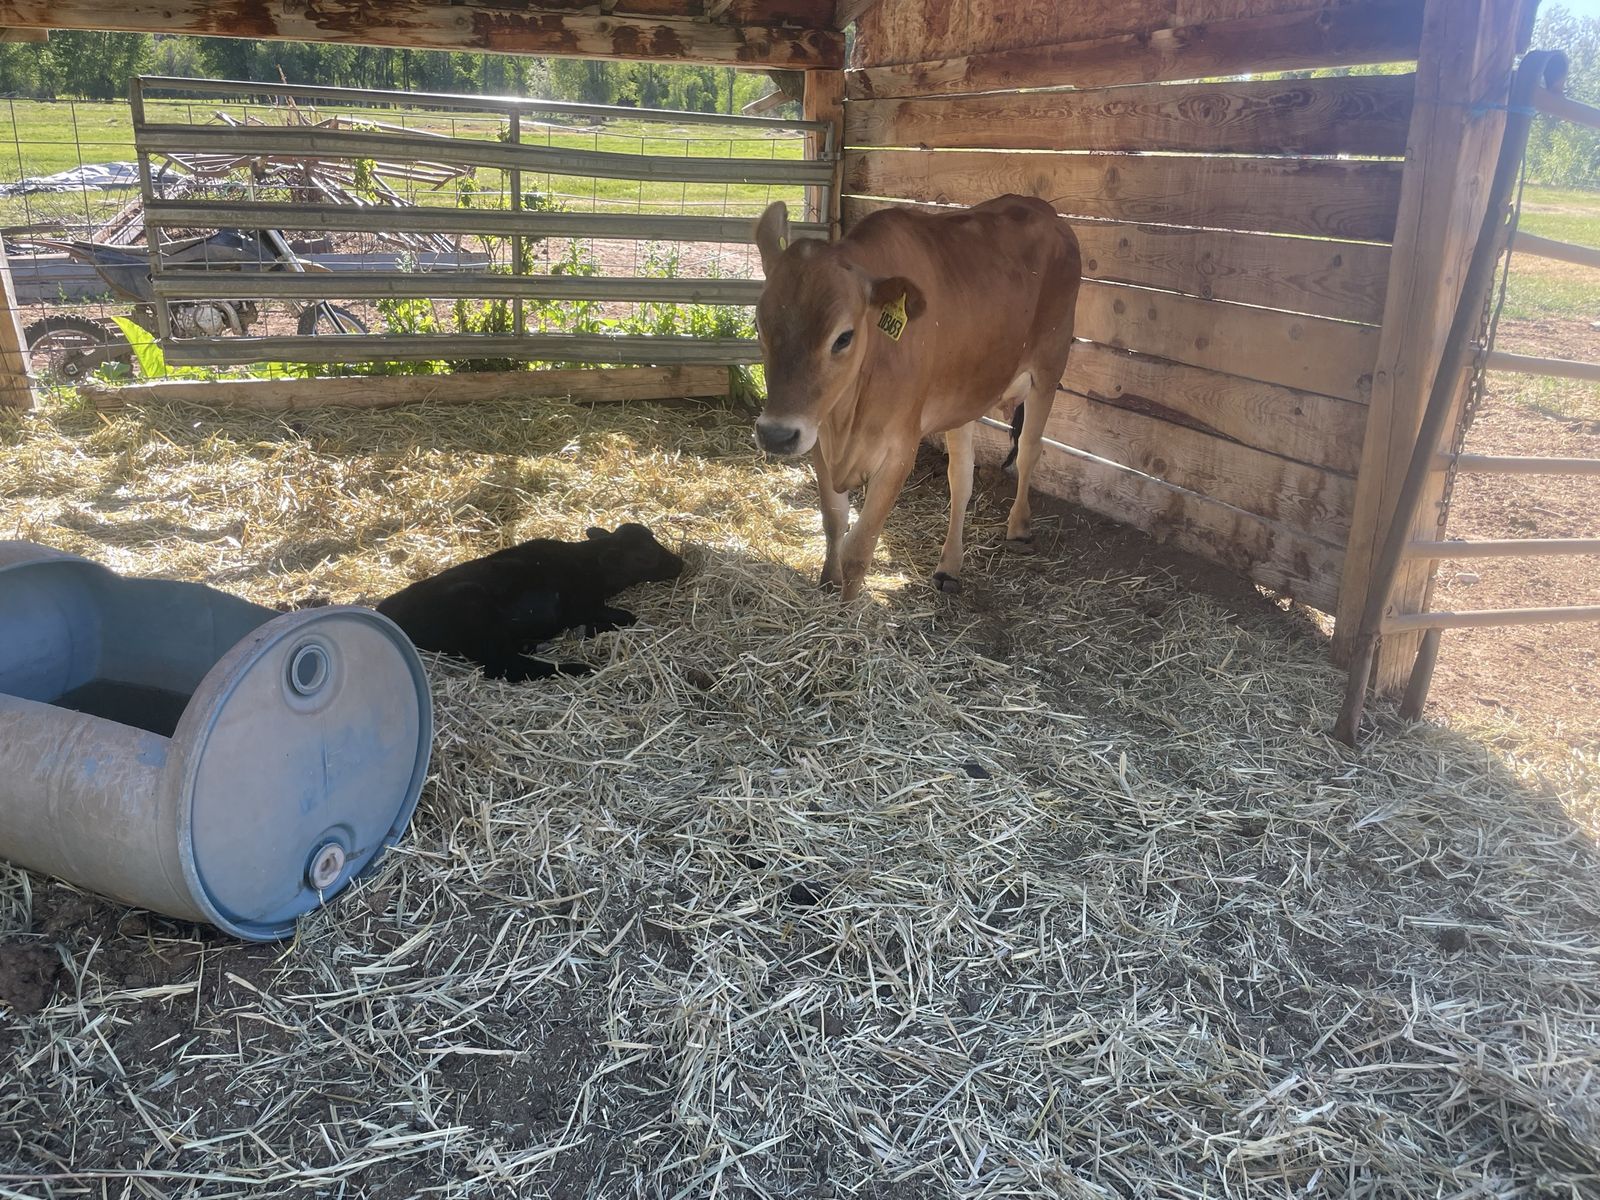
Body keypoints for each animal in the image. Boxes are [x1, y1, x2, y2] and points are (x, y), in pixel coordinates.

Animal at [376, 523, 683, 682]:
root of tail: (389, 611)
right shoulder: (581, 605)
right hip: (474, 610)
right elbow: (628, 617)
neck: (587, 564)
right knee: (506, 667)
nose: (680, 562)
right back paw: (575, 668)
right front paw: (589, 630)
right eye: (646, 555)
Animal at [751, 194, 1081, 601]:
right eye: (759, 326)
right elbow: (834, 521)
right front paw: (828, 583)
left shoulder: (899, 451)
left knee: (1030, 450)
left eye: (843, 337)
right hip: (966, 396)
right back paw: (949, 566)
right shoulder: (818, 437)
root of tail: (1045, 210)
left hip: (1049, 369)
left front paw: (847, 607)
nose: (776, 435)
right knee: (961, 477)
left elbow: (859, 548)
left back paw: (1019, 526)